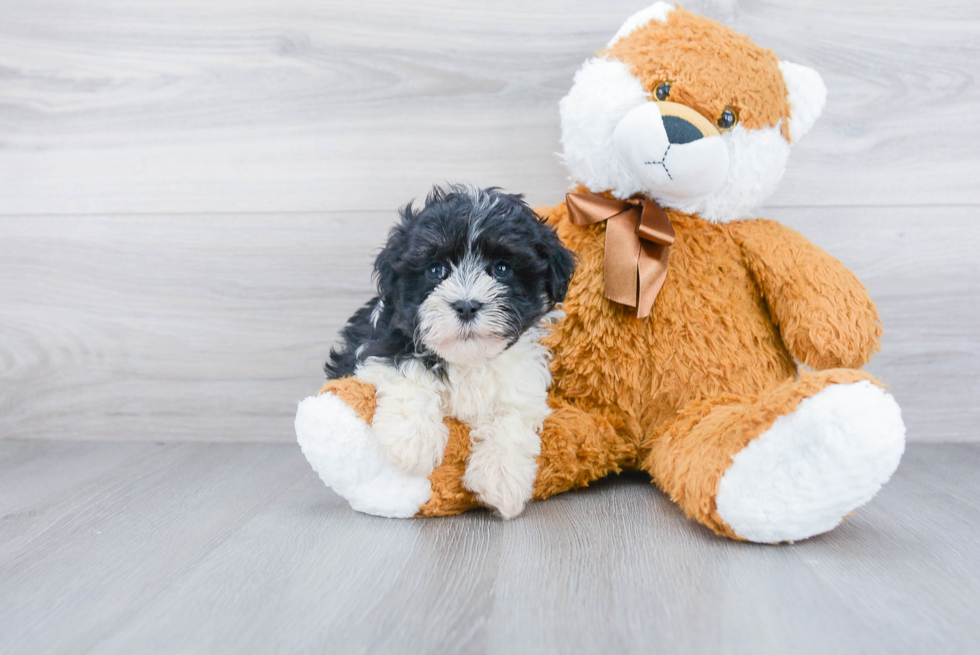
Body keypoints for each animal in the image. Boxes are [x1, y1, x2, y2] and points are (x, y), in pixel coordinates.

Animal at [326, 187, 580, 520]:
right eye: (436, 270)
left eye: (501, 269)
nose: (467, 305)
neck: (467, 357)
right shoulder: (377, 344)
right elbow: (408, 371)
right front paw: (413, 440)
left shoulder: (522, 380)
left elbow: (512, 414)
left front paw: (501, 477)